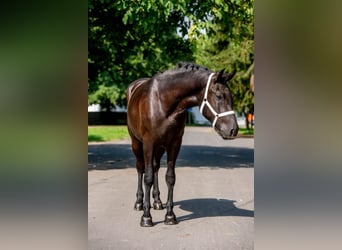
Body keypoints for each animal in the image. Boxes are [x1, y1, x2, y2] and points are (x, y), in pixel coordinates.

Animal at [125, 62, 238, 227]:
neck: (163, 101)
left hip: (159, 147)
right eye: (219, 96)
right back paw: (139, 203)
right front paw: (146, 217)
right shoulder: (148, 144)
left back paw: (157, 202)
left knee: (156, 168)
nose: (233, 130)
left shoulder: (174, 144)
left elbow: (170, 177)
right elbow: (148, 177)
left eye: (232, 97)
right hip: (136, 142)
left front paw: (170, 216)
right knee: (141, 169)